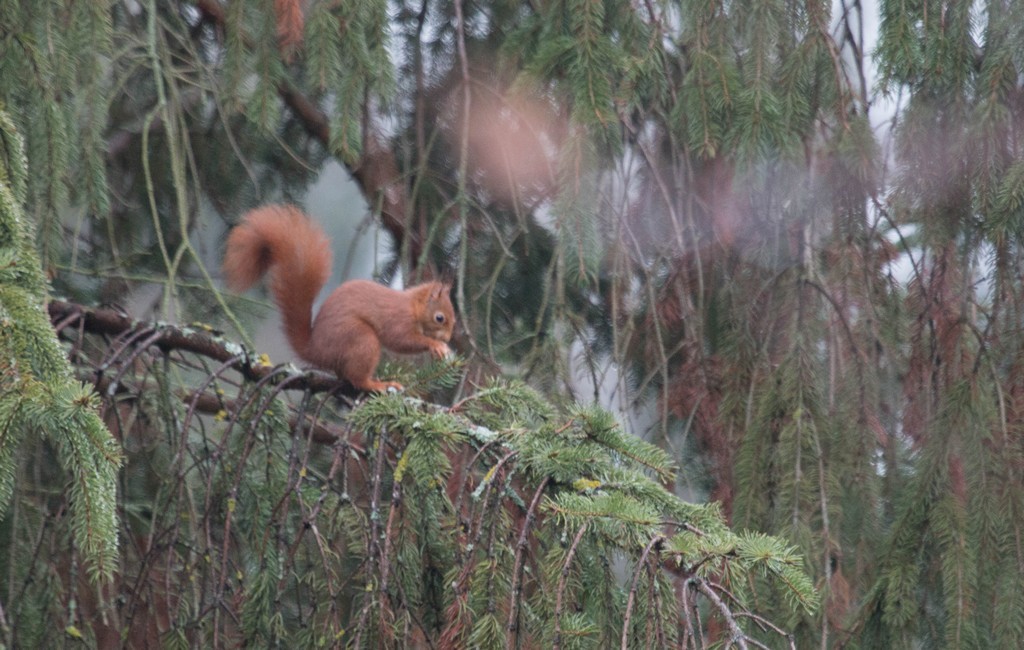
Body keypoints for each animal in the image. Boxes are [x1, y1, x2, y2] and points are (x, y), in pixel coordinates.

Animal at [226, 204, 454, 391]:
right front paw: (435, 345)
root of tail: (315, 350)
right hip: (361, 339)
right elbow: (402, 340)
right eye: (439, 318)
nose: (448, 338)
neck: (413, 306)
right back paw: (377, 384)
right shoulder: (398, 319)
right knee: (357, 379)